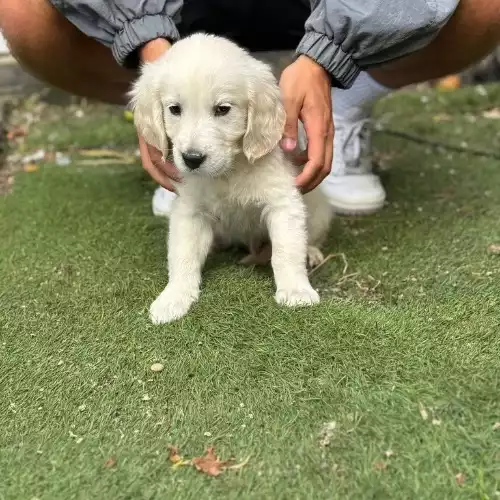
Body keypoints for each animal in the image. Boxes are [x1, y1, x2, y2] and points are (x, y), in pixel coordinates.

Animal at [130, 34, 332, 324]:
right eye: (175, 109)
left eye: (222, 109)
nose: (192, 159)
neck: (228, 172)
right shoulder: (189, 210)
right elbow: (183, 255)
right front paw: (173, 298)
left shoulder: (283, 202)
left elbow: (286, 251)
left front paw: (296, 290)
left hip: (319, 209)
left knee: (311, 236)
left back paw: (312, 253)